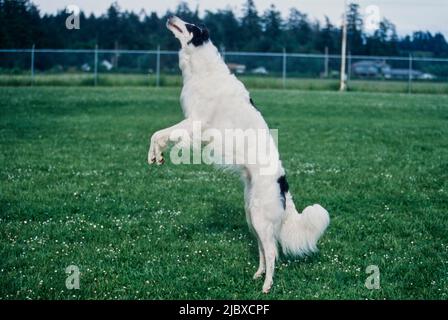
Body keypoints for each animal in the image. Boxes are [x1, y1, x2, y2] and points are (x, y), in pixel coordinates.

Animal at [148, 16, 328, 294]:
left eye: (190, 26)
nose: (171, 17)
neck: (203, 69)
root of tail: (283, 184)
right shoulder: (196, 127)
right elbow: (158, 135)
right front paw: (155, 156)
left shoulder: (195, 122)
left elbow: (159, 134)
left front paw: (156, 153)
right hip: (251, 215)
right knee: (263, 250)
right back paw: (258, 274)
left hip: (260, 218)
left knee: (272, 252)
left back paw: (266, 285)